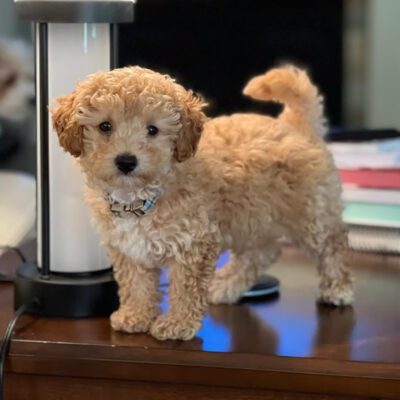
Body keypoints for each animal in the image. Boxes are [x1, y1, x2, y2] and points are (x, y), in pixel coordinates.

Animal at [50, 65, 354, 340]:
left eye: (152, 130)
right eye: (105, 126)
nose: (126, 161)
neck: (140, 196)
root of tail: (295, 126)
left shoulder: (194, 243)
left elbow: (186, 289)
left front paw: (177, 324)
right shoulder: (128, 248)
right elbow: (136, 284)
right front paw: (135, 315)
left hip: (310, 212)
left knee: (332, 244)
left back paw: (338, 288)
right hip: (252, 216)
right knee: (261, 253)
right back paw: (227, 285)